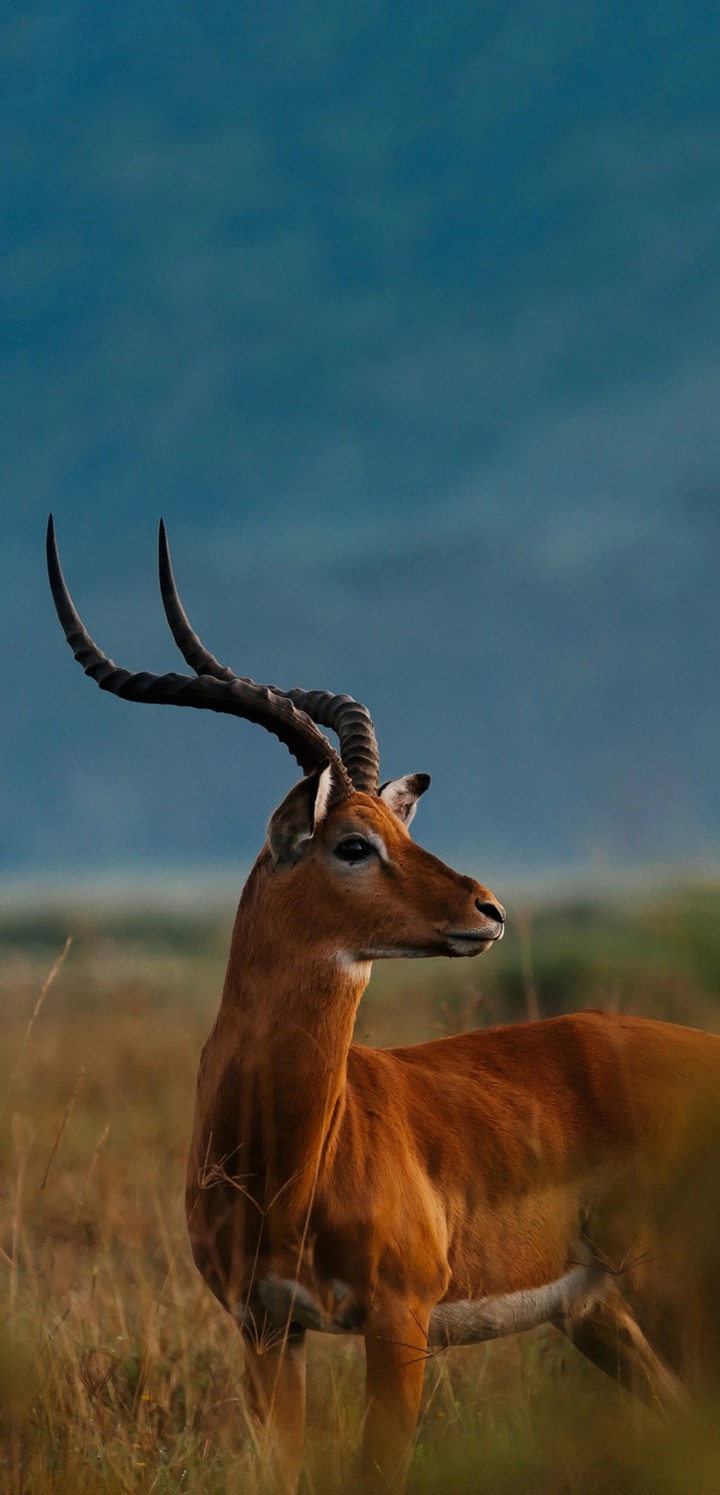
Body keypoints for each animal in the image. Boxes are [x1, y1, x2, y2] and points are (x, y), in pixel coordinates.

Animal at [47, 516, 720, 1493]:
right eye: (354, 843)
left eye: (399, 827)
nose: (488, 908)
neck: (287, 1162)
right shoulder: (265, 1328)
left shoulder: (399, 1323)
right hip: (603, 1312)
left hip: (674, 1285)